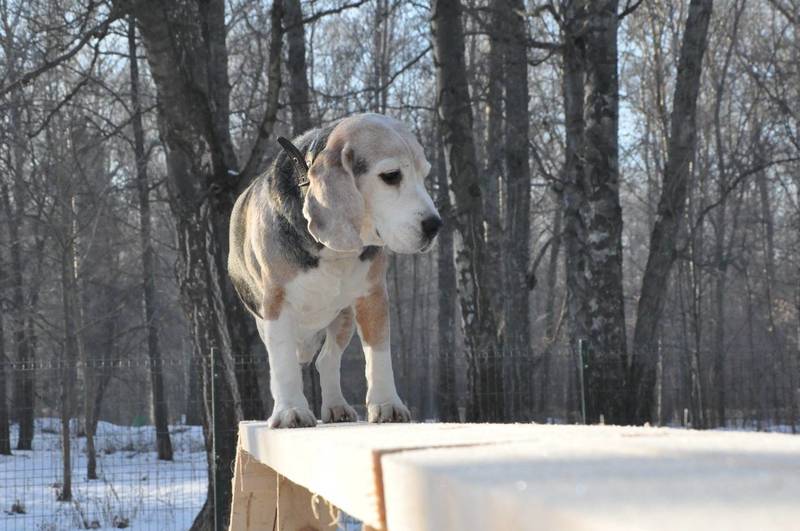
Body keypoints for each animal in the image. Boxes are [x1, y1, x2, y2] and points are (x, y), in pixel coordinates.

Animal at [228, 112, 440, 428]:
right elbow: (283, 363)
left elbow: (379, 354)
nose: (435, 226)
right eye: (391, 176)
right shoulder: (276, 303)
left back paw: (336, 406)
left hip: (343, 318)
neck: (331, 249)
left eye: (424, 175)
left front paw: (386, 404)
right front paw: (290, 411)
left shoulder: (372, 296)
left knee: (326, 359)